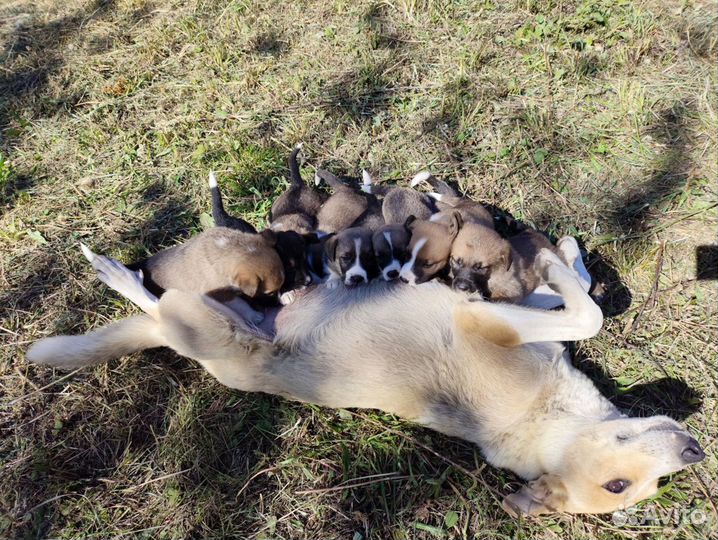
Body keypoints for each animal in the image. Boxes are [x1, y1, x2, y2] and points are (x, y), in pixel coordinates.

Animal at [26, 243, 704, 516]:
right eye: (619, 485)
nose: (695, 452)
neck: (547, 422)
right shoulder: (490, 314)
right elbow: (584, 304)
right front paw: (564, 259)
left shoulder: (492, 318)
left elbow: (584, 310)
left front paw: (563, 265)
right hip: (212, 313)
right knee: (152, 303)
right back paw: (111, 267)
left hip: (202, 323)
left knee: (155, 309)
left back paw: (113, 272)